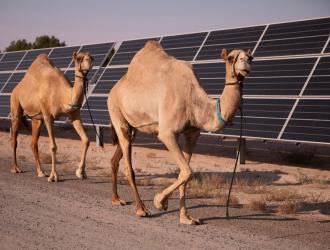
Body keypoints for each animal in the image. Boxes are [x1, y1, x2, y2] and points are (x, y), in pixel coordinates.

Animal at [10, 51, 93, 183]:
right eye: (79, 58)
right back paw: (16, 169)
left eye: (91, 58)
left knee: (33, 143)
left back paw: (41, 172)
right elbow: (53, 146)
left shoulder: (74, 114)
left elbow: (86, 140)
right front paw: (54, 176)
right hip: (15, 104)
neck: (62, 95)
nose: (88, 63)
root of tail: (16, 88)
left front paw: (80, 173)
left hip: (37, 119)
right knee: (14, 138)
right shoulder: (48, 116)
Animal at [108, 41, 253, 225]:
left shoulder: (192, 134)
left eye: (251, 57)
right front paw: (160, 202)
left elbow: (183, 173)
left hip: (133, 126)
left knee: (116, 157)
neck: (193, 99)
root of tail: (113, 89)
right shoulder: (167, 133)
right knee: (128, 165)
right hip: (116, 112)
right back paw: (141, 209)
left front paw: (186, 218)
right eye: (230, 58)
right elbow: (188, 172)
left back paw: (116, 199)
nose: (245, 63)